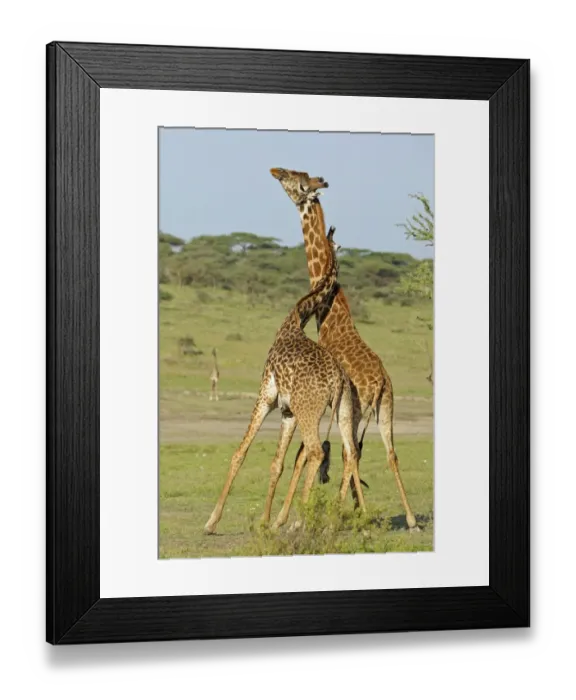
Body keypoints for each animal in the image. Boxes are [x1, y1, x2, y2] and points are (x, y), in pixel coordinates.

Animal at [204, 227, 365, 535]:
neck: (296, 318)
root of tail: (337, 380)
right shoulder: (288, 411)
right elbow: (277, 463)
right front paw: (265, 522)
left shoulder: (266, 395)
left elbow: (240, 453)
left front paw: (211, 521)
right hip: (343, 409)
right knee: (350, 452)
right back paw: (342, 519)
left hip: (309, 410)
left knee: (315, 452)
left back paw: (300, 522)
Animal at [270, 167, 419, 531]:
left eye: (293, 180)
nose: (274, 171)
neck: (330, 317)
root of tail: (379, 382)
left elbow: (305, 454)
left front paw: (287, 518)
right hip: (386, 406)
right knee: (386, 453)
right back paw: (406, 518)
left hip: (353, 409)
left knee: (349, 453)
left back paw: (338, 515)